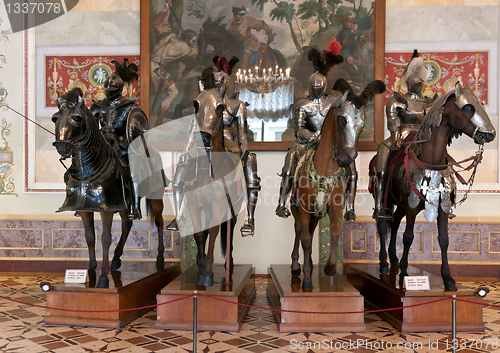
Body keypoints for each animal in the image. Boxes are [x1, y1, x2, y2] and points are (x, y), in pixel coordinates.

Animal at [292, 78, 384, 288]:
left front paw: (330, 267)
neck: (324, 168)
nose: (346, 158)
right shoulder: (304, 207)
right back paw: (296, 267)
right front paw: (307, 279)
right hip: (296, 208)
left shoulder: (334, 206)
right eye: (342, 120)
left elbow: (335, 231)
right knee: (299, 230)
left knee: (310, 230)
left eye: (362, 124)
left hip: (316, 214)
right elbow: (306, 239)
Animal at [370, 82, 494, 288]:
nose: (490, 134)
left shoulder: (442, 208)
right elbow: (408, 237)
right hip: (385, 197)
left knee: (394, 223)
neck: (431, 162)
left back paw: (393, 259)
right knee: (382, 224)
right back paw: (384, 264)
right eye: (469, 108)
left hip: (400, 205)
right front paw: (404, 275)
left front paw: (448, 278)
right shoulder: (412, 207)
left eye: (481, 105)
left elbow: (444, 240)